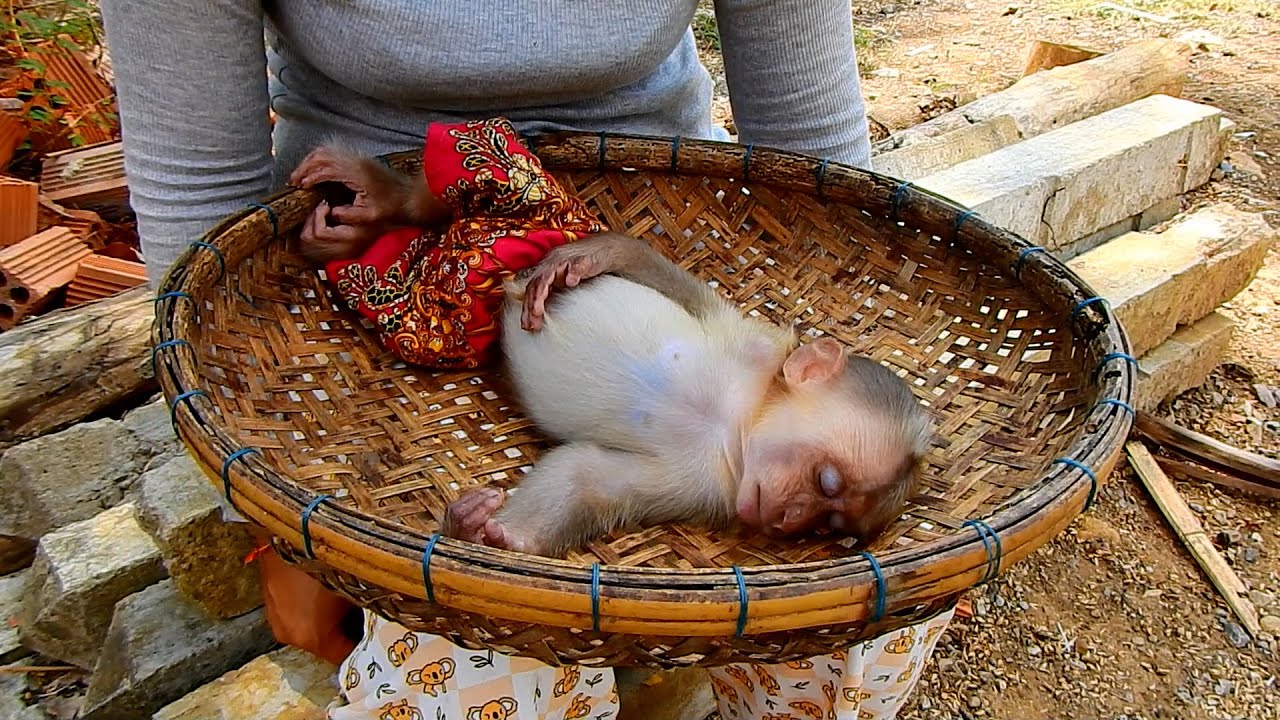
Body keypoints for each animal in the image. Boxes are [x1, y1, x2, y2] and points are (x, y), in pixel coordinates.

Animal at [289, 144, 934, 560]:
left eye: (828, 526)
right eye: (827, 482)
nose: (789, 517)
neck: (737, 422)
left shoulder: (707, 489)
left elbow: (587, 477)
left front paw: (487, 533)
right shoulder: (752, 342)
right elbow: (661, 277)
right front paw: (594, 256)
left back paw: (358, 231)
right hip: (526, 213)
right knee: (475, 187)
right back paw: (383, 196)